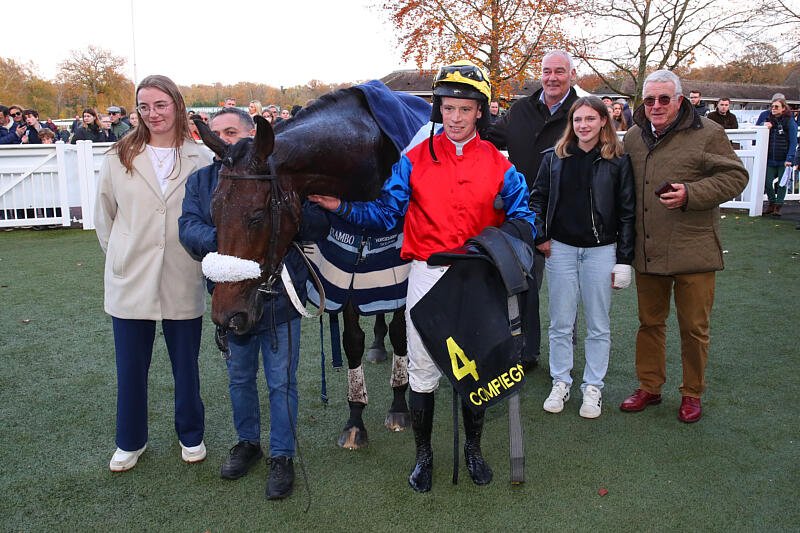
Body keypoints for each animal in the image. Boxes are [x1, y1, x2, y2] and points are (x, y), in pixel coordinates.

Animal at [196, 87, 415, 449]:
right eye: (213, 211)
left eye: (257, 215)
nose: (227, 316)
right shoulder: (349, 266)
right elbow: (352, 339)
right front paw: (355, 418)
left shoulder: (400, 266)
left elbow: (401, 331)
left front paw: (400, 404)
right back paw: (376, 345)